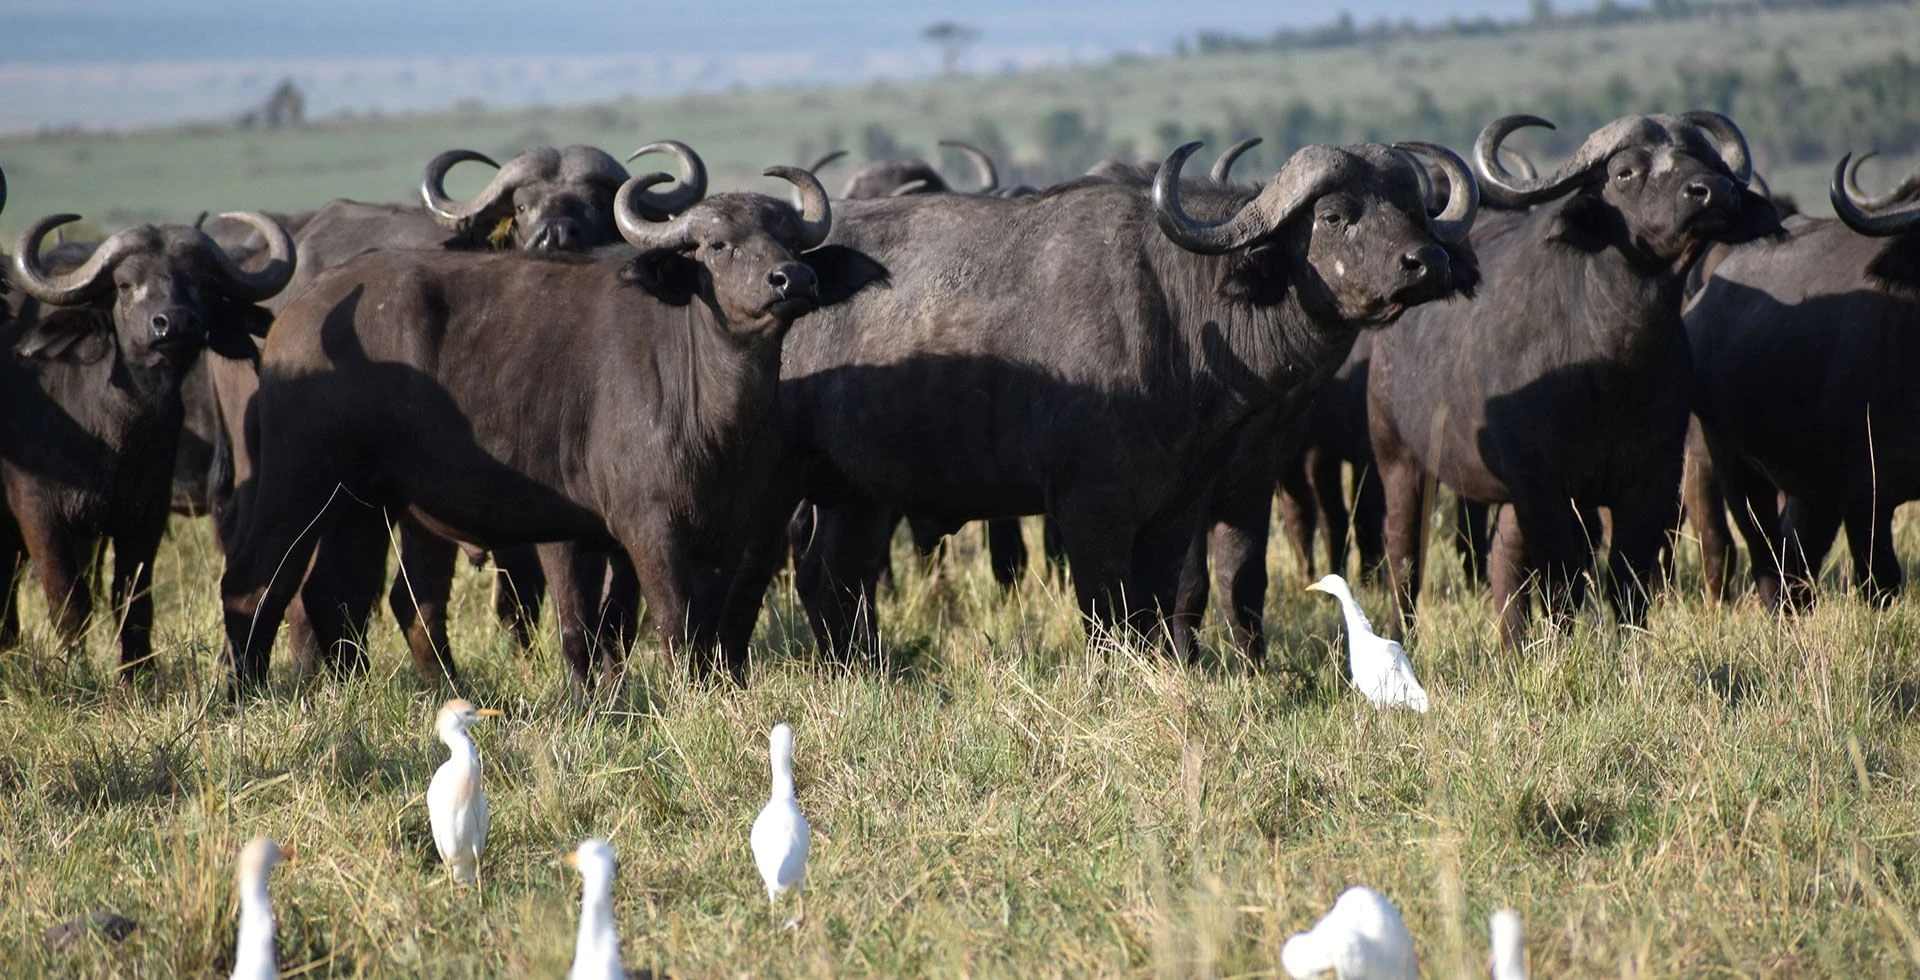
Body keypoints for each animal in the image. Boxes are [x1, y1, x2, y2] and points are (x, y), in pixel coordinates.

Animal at [1, 212, 293, 672]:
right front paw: (77, 669)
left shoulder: (146, 512)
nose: (172, 323)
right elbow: (69, 601)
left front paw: (138, 672)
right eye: (124, 284)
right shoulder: (38, 511)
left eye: (201, 282)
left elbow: (133, 601)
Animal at [214, 166, 879, 687]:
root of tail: (294, 314)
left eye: (789, 239)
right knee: (254, 583)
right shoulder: (645, 527)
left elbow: (685, 626)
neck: (711, 404)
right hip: (298, 478)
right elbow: (668, 623)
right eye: (718, 244)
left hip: (365, 501)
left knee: (339, 596)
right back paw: (244, 694)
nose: (792, 280)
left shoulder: (729, 528)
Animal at [721, 137, 1482, 668]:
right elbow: (1109, 613)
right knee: (753, 574)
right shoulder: (1091, 508)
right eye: (1333, 214)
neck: (1181, 311)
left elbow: (1166, 603)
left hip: (858, 492)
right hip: (769, 486)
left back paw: (864, 672)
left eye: (1411, 207)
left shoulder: (1183, 506)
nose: (1428, 263)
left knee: (831, 578)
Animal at [1367, 112, 1781, 641]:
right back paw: (1401, 638)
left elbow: (1627, 579)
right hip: (1399, 459)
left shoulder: (1652, 480)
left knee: (1503, 559)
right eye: (1625, 172)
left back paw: (1513, 645)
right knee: (1405, 561)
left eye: (1705, 159)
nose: (1712, 192)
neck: (1614, 362)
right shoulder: (1542, 484)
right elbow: (1563, 580)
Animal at [1689, 154, 1912, 603]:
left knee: (1796, 553)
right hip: (1734, 465)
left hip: (1809, 484)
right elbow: (1880, 580)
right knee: (1762, 554)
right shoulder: (1864, 490)